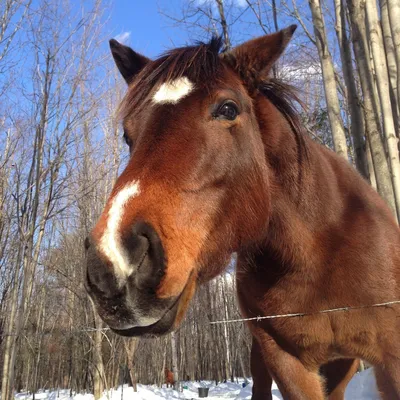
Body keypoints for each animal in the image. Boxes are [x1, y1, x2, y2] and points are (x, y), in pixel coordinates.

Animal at [85, 26, 400, 398]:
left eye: (227, 108)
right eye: (127, 133)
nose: (114, 260)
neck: (318, 254)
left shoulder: (391, 357)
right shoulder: (286, 362)